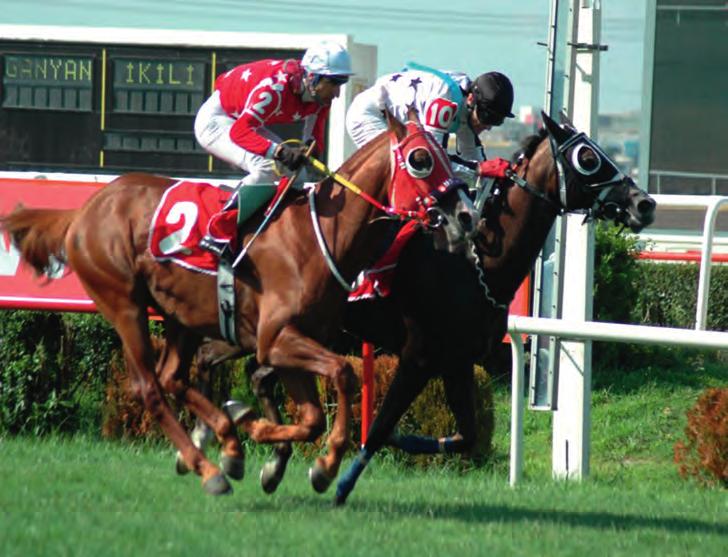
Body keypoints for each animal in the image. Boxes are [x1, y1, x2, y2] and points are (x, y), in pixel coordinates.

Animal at [1, 113, 478, 496]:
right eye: (420, 158)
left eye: (448, 154)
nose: (466, 216)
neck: (319, 236)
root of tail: (84, 211)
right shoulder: (276, 339)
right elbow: (342, 374)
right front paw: (322, 464)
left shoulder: (287, 346)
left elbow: (311, 416)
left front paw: (261, 435)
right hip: (124, 305)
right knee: (150, 389)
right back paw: (209, 469)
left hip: (180, 315)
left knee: (173, 377)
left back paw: (227, 441)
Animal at [185, 111, 656, 502]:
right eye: (587, 157)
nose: (644, 204)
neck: (475, 266)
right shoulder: (419, 356)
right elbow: (379, 428)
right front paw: (337, 483)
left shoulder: (458, 361)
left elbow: (466, 435)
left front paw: (402, 445)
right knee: (233, 366)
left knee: (233, 366)